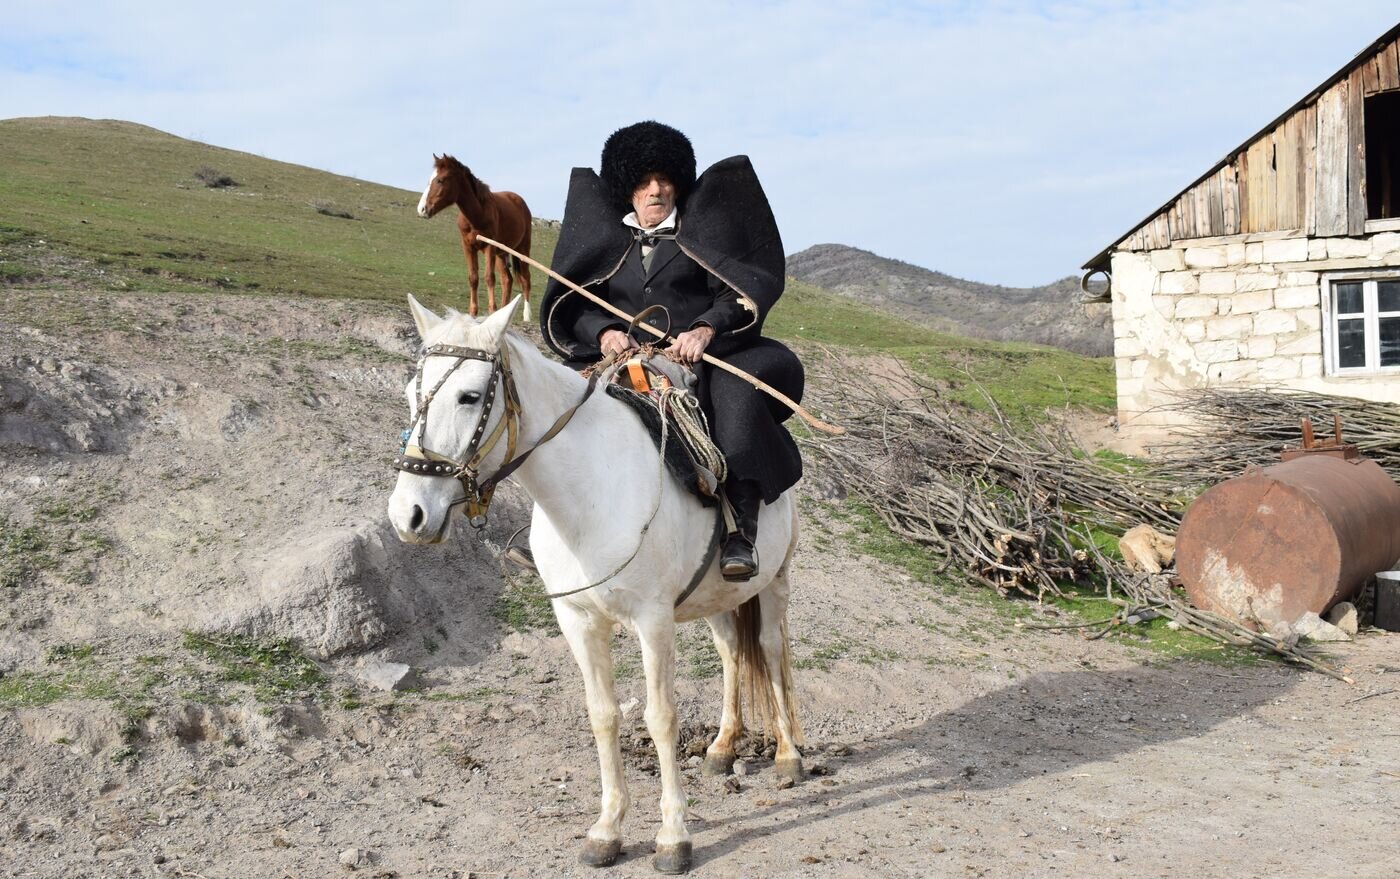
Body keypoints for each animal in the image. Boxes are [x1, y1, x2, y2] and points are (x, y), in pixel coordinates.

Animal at [389, 293, 806, 873]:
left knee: (767, 651)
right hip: (718, 597)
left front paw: (673, 837)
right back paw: (723, 747)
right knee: (730, 653)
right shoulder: (579, 621)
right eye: (411, 393)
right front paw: (607, 829)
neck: (589, 493)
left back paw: (789, 756)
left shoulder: (653, 621)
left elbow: (660, 717)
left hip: (772, 585)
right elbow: (604, 716)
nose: (408, 515)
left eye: (469, 396)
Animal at [411, 156, 532, 320]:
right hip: (501, 253)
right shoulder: (468, 246)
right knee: (507, 280)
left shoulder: (489, 247)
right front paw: (473, 312)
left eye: (440, 180)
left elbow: (489, 278)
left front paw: (491, 310)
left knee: (525, 280)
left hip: (522, 249)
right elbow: (473, 278)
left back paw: (526, 316)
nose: (422, 209)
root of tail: (519, 200)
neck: (477, 214)